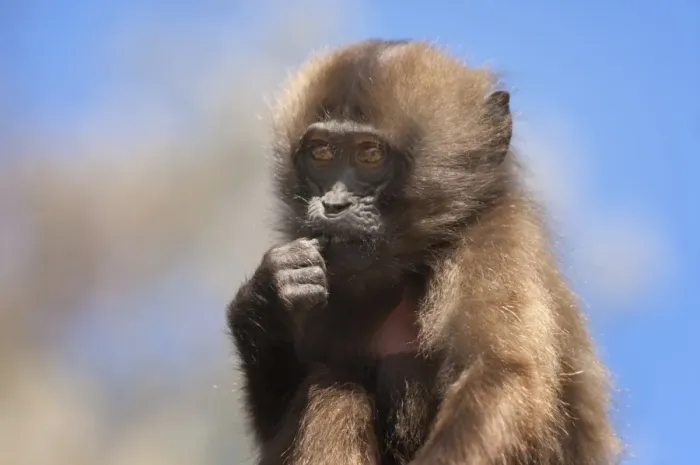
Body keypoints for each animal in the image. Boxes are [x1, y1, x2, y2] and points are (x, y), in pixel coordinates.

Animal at [227, 39, 620, 464]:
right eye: (322, 154)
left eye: (370, 155)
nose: (332, 206)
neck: (409, 267)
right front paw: (270, 294)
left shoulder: (496, 240)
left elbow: (504, 376)